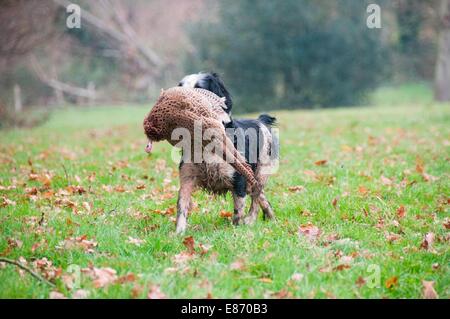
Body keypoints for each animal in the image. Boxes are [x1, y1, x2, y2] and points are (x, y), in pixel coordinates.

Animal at [175, 72, 278, 232]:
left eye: (199, 88)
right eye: (180, 86)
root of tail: (260, 120)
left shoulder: (240, 179)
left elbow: (238, 211)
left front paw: (236, 230)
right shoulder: (187, 177)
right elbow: (182, 206)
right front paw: (178, 233)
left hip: (261, 172)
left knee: (257, 199)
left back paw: (255, 220)